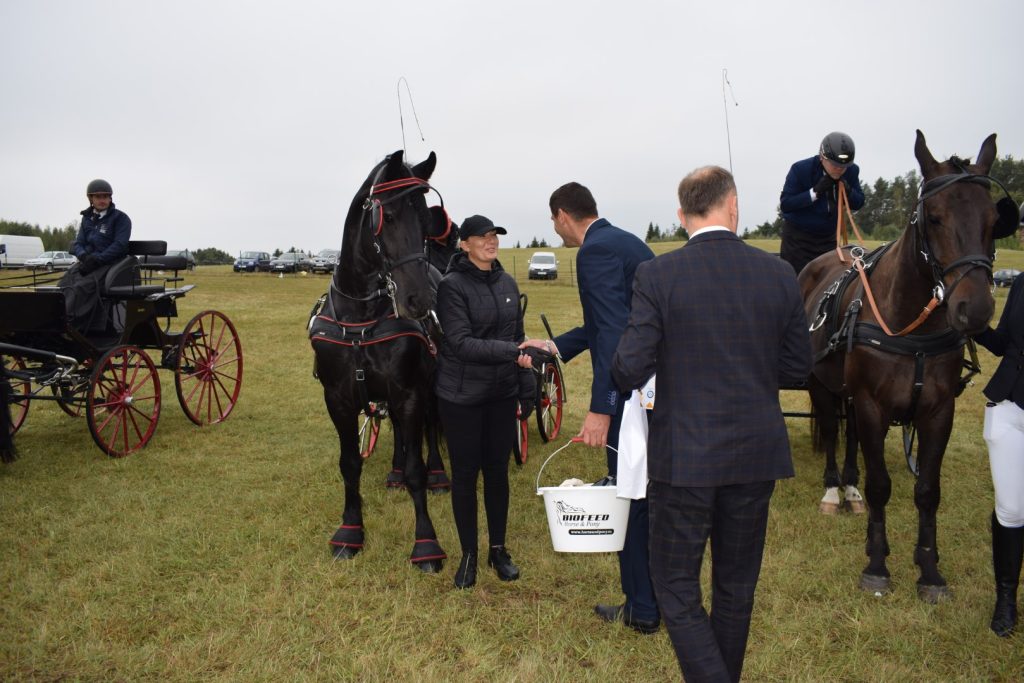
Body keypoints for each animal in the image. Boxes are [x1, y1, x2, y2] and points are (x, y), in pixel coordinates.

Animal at [311, 150, 448, 573]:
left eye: (427, 220)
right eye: (387, 216)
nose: (419, 300)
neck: (360, 319)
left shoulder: (410, 392)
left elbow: (418, 468)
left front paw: (426, 543)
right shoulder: (337, 398)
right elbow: (349, 463)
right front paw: (350, 531)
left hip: (429, 386)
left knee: (430, 426)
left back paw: (438, 474)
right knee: (400, 433)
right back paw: (394, 472)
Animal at [802, 131, 1019, 602]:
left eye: (994, 219)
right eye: (933, 217)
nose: (975, 310)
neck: (907, 325)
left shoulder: (938, 412)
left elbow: (927, 490)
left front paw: (930, 569)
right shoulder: (871, 405)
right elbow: (881, 485)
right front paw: (877, 563)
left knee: (851, 441)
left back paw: (850, 489)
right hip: (822, 385)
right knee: (830, 429)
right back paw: (833, 490)